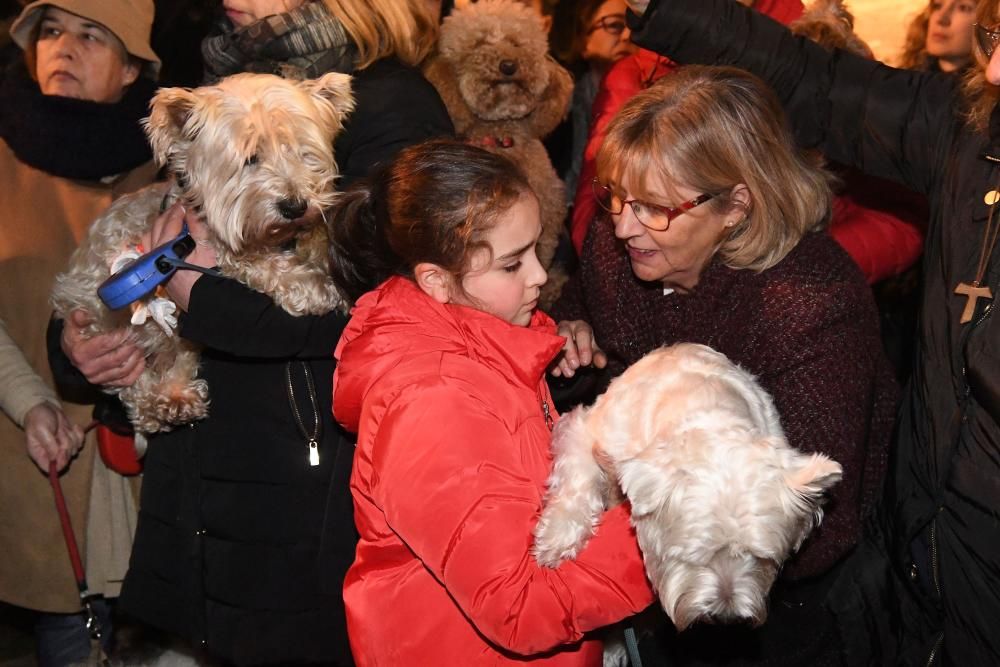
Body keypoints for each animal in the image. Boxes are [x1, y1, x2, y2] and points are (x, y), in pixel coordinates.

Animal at [52, 72, 356, 434]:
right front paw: (312, 285)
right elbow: (251, 259)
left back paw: (175, 395)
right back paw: (161, 400)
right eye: (250, 158)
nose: (295, 206)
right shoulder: (214, 243)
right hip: (106, 320)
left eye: (302, 152)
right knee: (132, 382)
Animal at [536, 344, 840, 632]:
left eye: (762, 558)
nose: (726, 617)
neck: (707, 409)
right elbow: (576, 478)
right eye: (692, 557)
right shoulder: (585, 429)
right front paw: (556, 538)